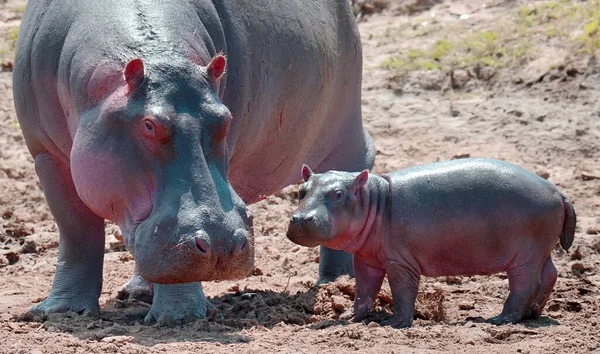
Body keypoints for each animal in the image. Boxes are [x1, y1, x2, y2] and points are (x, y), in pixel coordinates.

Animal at [14, 0, 372, 326]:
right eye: (148, 124)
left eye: (225, 118)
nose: (222, 245)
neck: (159, 56)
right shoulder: (46, 156)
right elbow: (76, 231)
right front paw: (60, 312)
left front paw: (181, 317)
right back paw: (138, 292)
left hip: (345, 128)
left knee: (351, 169)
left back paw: (337, 284)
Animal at [288, 159, 576, 328]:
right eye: (301, 191)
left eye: (337, 194)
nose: (300, 219)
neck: (375, 200)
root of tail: (558, 192)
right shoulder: (366, 259)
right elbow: (364, 291)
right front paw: (348, 317)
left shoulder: (400, 262)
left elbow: (402, 291)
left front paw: (397, 324)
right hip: (541, 250)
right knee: (550, 275)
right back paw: (533, 314)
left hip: (525, 255)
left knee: (526, 284)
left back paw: (499, 320)